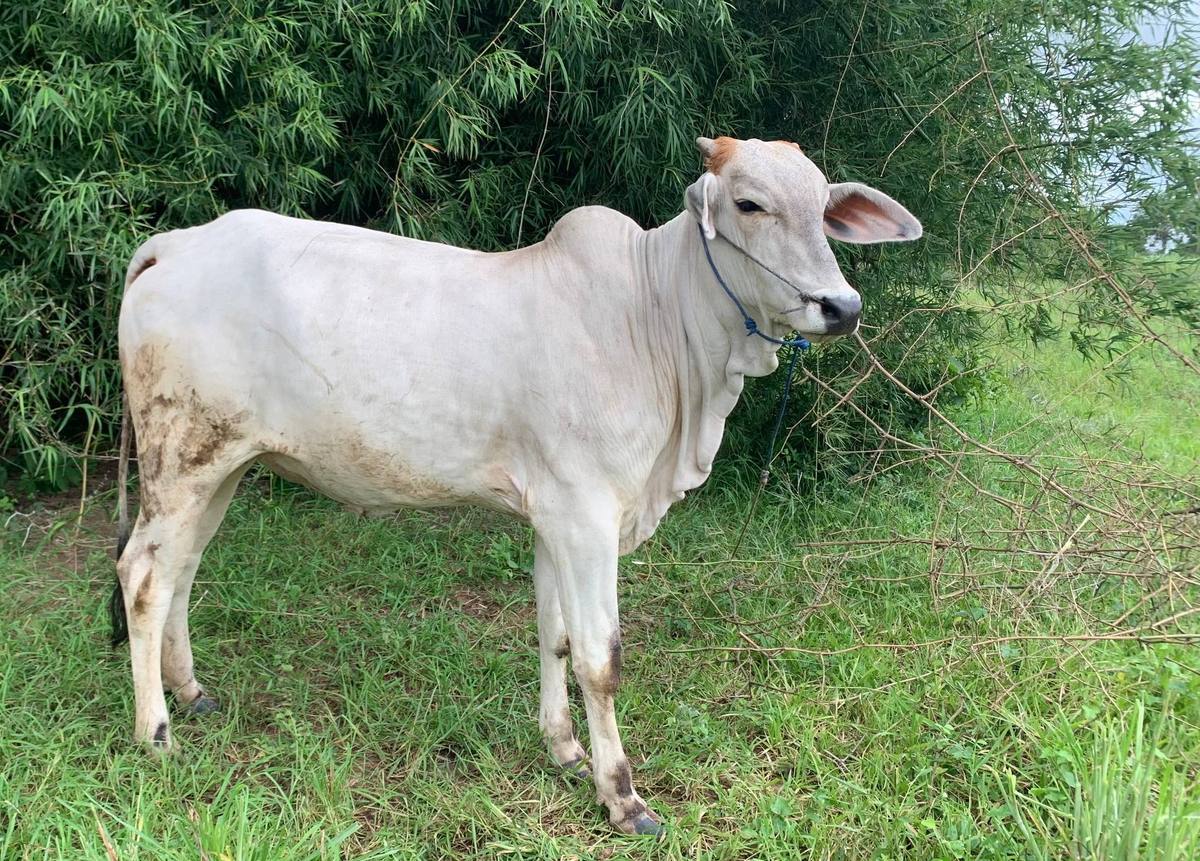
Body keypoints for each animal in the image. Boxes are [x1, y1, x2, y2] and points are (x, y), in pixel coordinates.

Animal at [111, 135, 921, 835]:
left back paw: (192, 693)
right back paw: (155, 732)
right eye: (750, 204)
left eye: (824, 206)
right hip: (183, 457)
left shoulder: (554, 518)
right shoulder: (588, 516)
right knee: (145, 575)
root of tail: (174, 243)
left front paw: (562, 747)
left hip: (222, 466)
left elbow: (554, 634)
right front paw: (621, 795)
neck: (657, 319)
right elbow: (600, 657)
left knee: (183, 569)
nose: (841, 307)